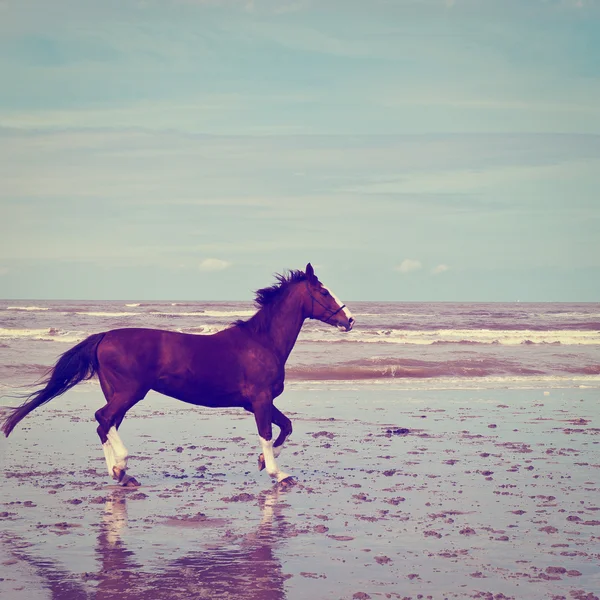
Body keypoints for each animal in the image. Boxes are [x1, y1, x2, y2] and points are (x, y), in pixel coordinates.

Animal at [0, 264, 354, 488]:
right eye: (323, 292)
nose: (349, 320)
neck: (262, 342)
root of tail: (104, 336)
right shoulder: (260, 399)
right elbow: (268, 433)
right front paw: (278, 474)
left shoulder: (255, 402)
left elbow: (286, 427)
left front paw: (261, 462)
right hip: (130, 392)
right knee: (103, 418)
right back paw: (121, 467)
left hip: (117, 393)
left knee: (106, 424)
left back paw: (121, 473)